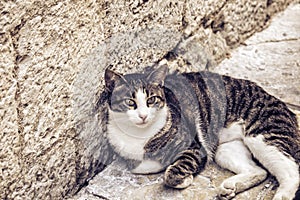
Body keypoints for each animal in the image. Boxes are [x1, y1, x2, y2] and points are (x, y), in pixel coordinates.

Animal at [99, 65, 298, 199]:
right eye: (130, 102)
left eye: (151, 100)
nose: (143, 116)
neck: (140, 135)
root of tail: (285, 107)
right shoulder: (131, 159)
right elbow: (144, 166)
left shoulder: (195, 147)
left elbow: (173, 171)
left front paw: (183, 178)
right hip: (225, 149)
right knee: (259, 171)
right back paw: (230, 187)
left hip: (262, 136)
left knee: (291, 170)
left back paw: (282, 195)